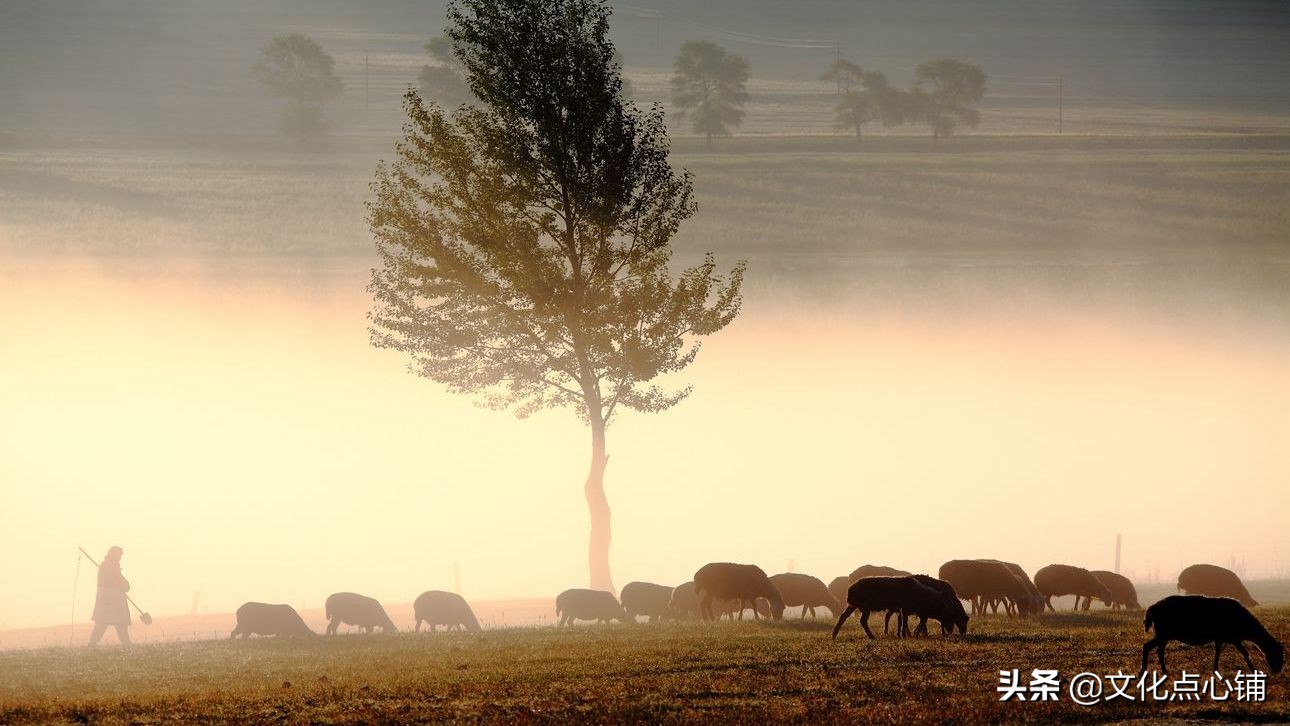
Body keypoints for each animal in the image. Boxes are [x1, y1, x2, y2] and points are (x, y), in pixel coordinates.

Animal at [1140, 595, 1279, 675]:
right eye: (1275, 653)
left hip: (1162, 635)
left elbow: (1218, 652)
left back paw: (1151, 670)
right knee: (1154, 649)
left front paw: (1215, 669)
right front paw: (1254, 670)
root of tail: (1152, 608)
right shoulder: (1233, 638)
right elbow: (1245, 653)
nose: (1278, 670)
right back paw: (1157, 670)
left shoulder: (1221, 638)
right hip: (1163, 634)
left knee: (1151, 648)